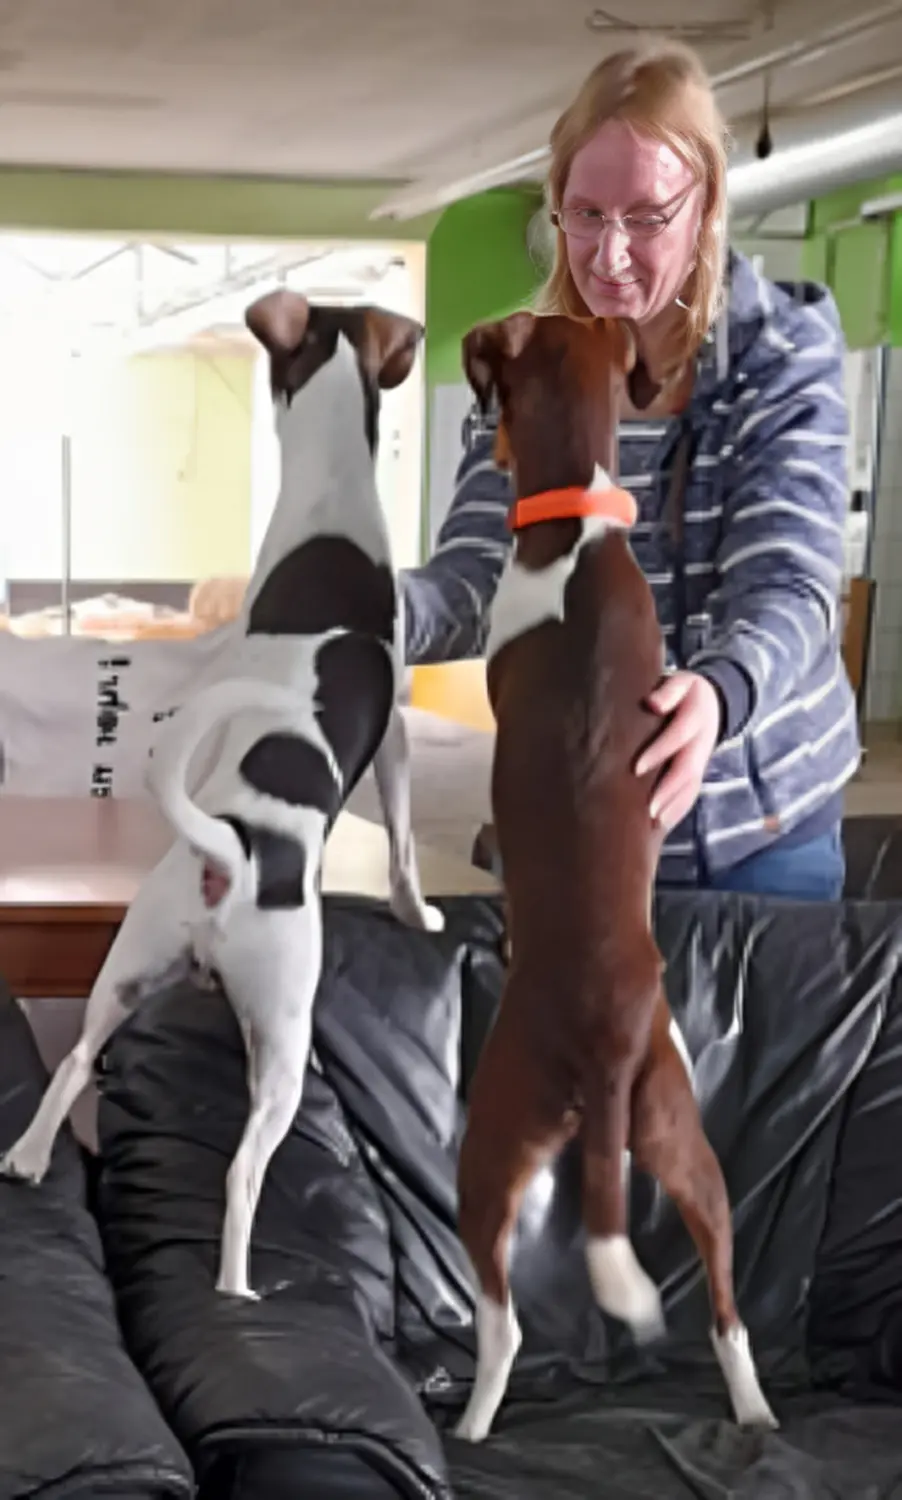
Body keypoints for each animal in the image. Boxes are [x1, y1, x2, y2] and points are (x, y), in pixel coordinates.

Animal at [0, 289, 444, 1301]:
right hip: (280, 1038)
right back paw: (237, 1283)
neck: (327, 492)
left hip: (125, 971)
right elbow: (404, 842)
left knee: (74, 1060)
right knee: (243, 1169)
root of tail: (229, 852)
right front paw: (419, 910)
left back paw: (30, 1156)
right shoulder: (399, 734)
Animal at [450, 310, 777, 1441]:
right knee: (726, 1300)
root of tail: (601, 1045)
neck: (579, 534)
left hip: (489, 1144)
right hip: (681, 1134)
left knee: (501, 1321)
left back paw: (469, 1422)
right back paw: (753, 1410)